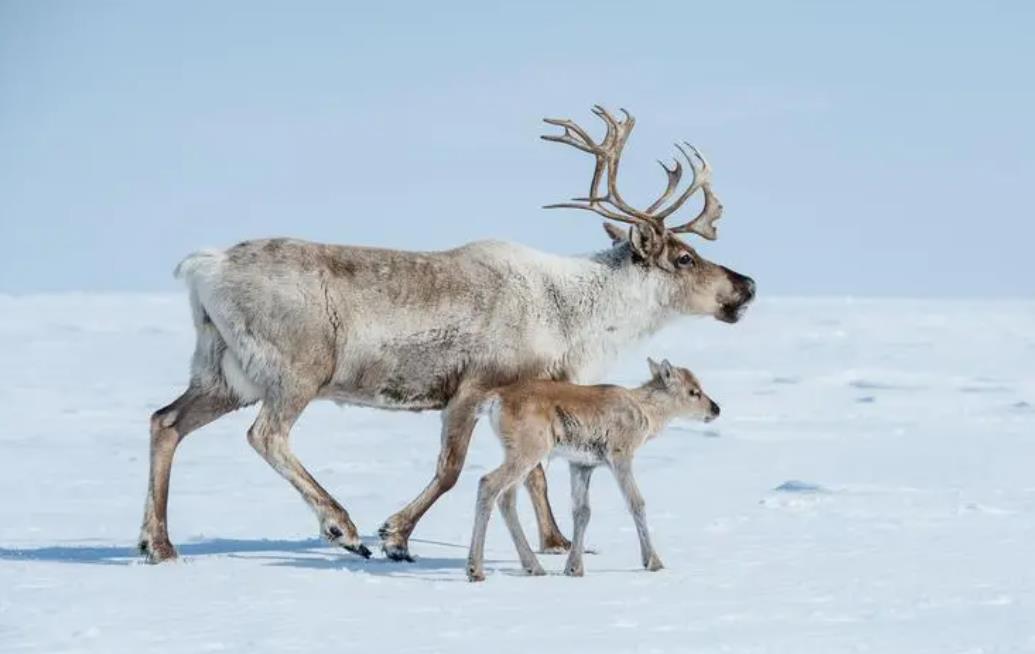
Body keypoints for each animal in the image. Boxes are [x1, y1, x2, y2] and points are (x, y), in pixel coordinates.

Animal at [469, 360, 720, 579]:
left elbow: (582, 511)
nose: (716, 409)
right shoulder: (620, 455)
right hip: (529, 451)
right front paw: (653, 562)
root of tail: (495, 400)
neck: (645, 411)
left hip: (521, 456)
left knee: (506, 498)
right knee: (488, 483)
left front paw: (574, 568)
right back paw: (476, 570)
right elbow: (636, 503)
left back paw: (534, 567)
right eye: (694, 391)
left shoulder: (581, 465)